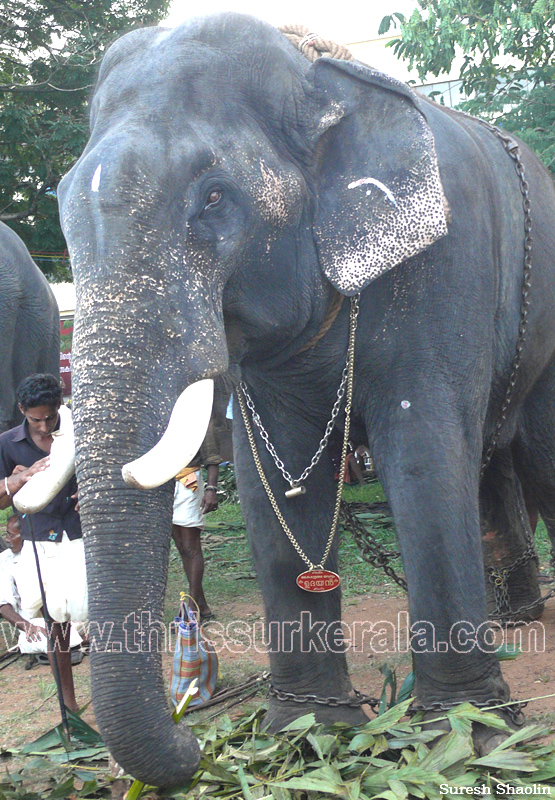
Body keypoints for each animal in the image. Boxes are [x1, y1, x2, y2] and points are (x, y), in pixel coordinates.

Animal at [55, 14, 555, 792]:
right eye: (60, 203)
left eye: (214, 197)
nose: (193, 738)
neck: (317, 78)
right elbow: (274, 479)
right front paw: (305, 735)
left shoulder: (444, 269)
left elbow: (424, 455)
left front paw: (465, 740)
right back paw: (511, 619)